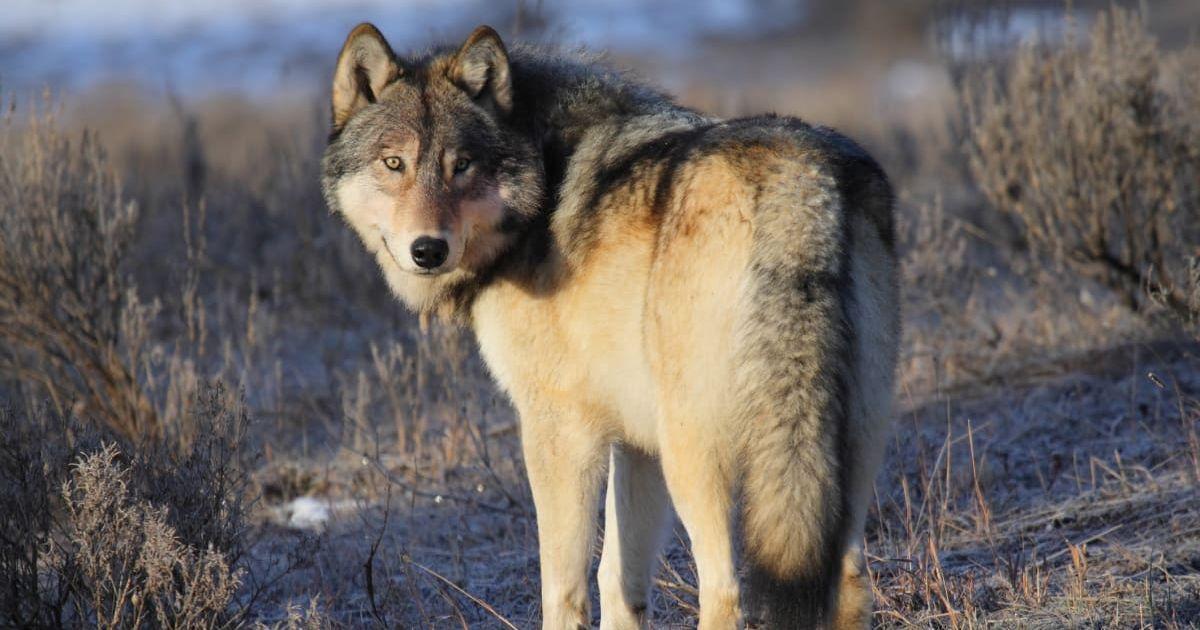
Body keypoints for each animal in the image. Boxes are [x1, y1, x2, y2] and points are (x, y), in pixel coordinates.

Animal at [321, 22, 899, 629]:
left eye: (463, 165)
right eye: (394, 164)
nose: (428, 250)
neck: (543, 178)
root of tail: (798, 181)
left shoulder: (557, 427)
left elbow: (563, 586)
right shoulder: (635, 442)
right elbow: (618, 582)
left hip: (693, 454)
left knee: (724, 589)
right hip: (847, 450)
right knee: (849, 576)